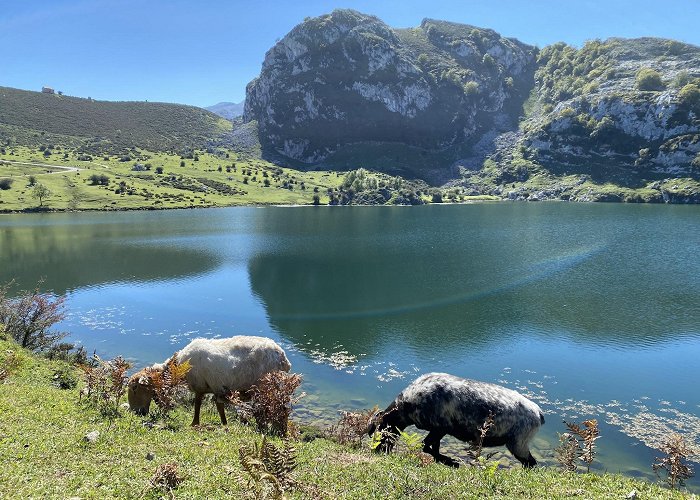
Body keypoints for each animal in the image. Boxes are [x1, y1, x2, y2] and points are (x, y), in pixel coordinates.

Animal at [127, 336, 292, 426]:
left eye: (135, 387)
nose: (136, 412)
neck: (178, 367)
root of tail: (283, 357)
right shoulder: (214, 388)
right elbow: (218, 407)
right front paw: (224, 423)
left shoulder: (200, 385)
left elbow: (198, 405)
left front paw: (194, 423)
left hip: (266, 385)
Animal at [366, 374, 548, 466]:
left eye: (380, 430)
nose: (377, 451)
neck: (407, 404)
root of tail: (539, 413)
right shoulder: (438, 431)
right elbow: (432, 447)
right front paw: (444, 459)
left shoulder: (440, 428)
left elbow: (426, 446)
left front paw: (448, 460)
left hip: (518, 444)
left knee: (531, 463)